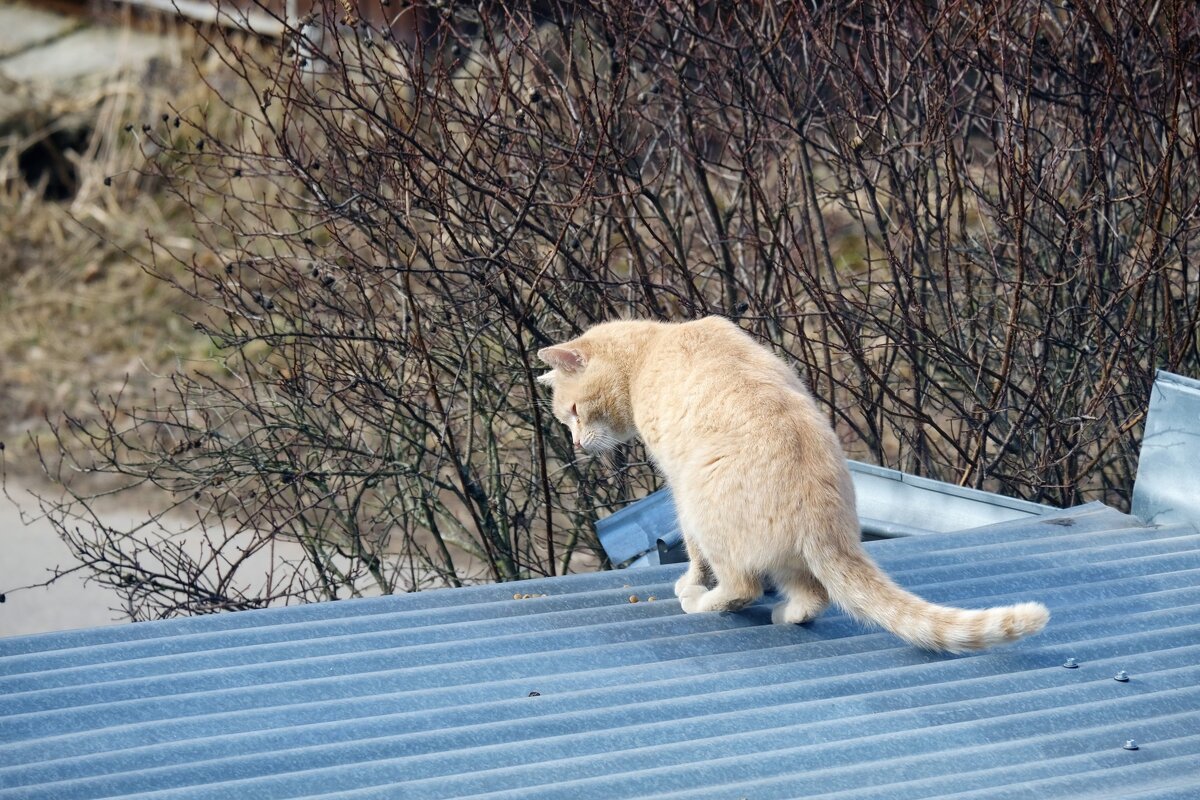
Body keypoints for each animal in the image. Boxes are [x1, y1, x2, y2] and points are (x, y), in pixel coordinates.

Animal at [537, 316, 1051, 652]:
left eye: (574, 412)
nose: (577, 443)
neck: (650, 348)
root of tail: (829, 525)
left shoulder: (678, 488)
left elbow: (694, 556)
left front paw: (691, 583)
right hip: (792, 556)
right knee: (812, 597)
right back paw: (786, 612)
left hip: (704, 504)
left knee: (740, 586)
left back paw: (703, 601)